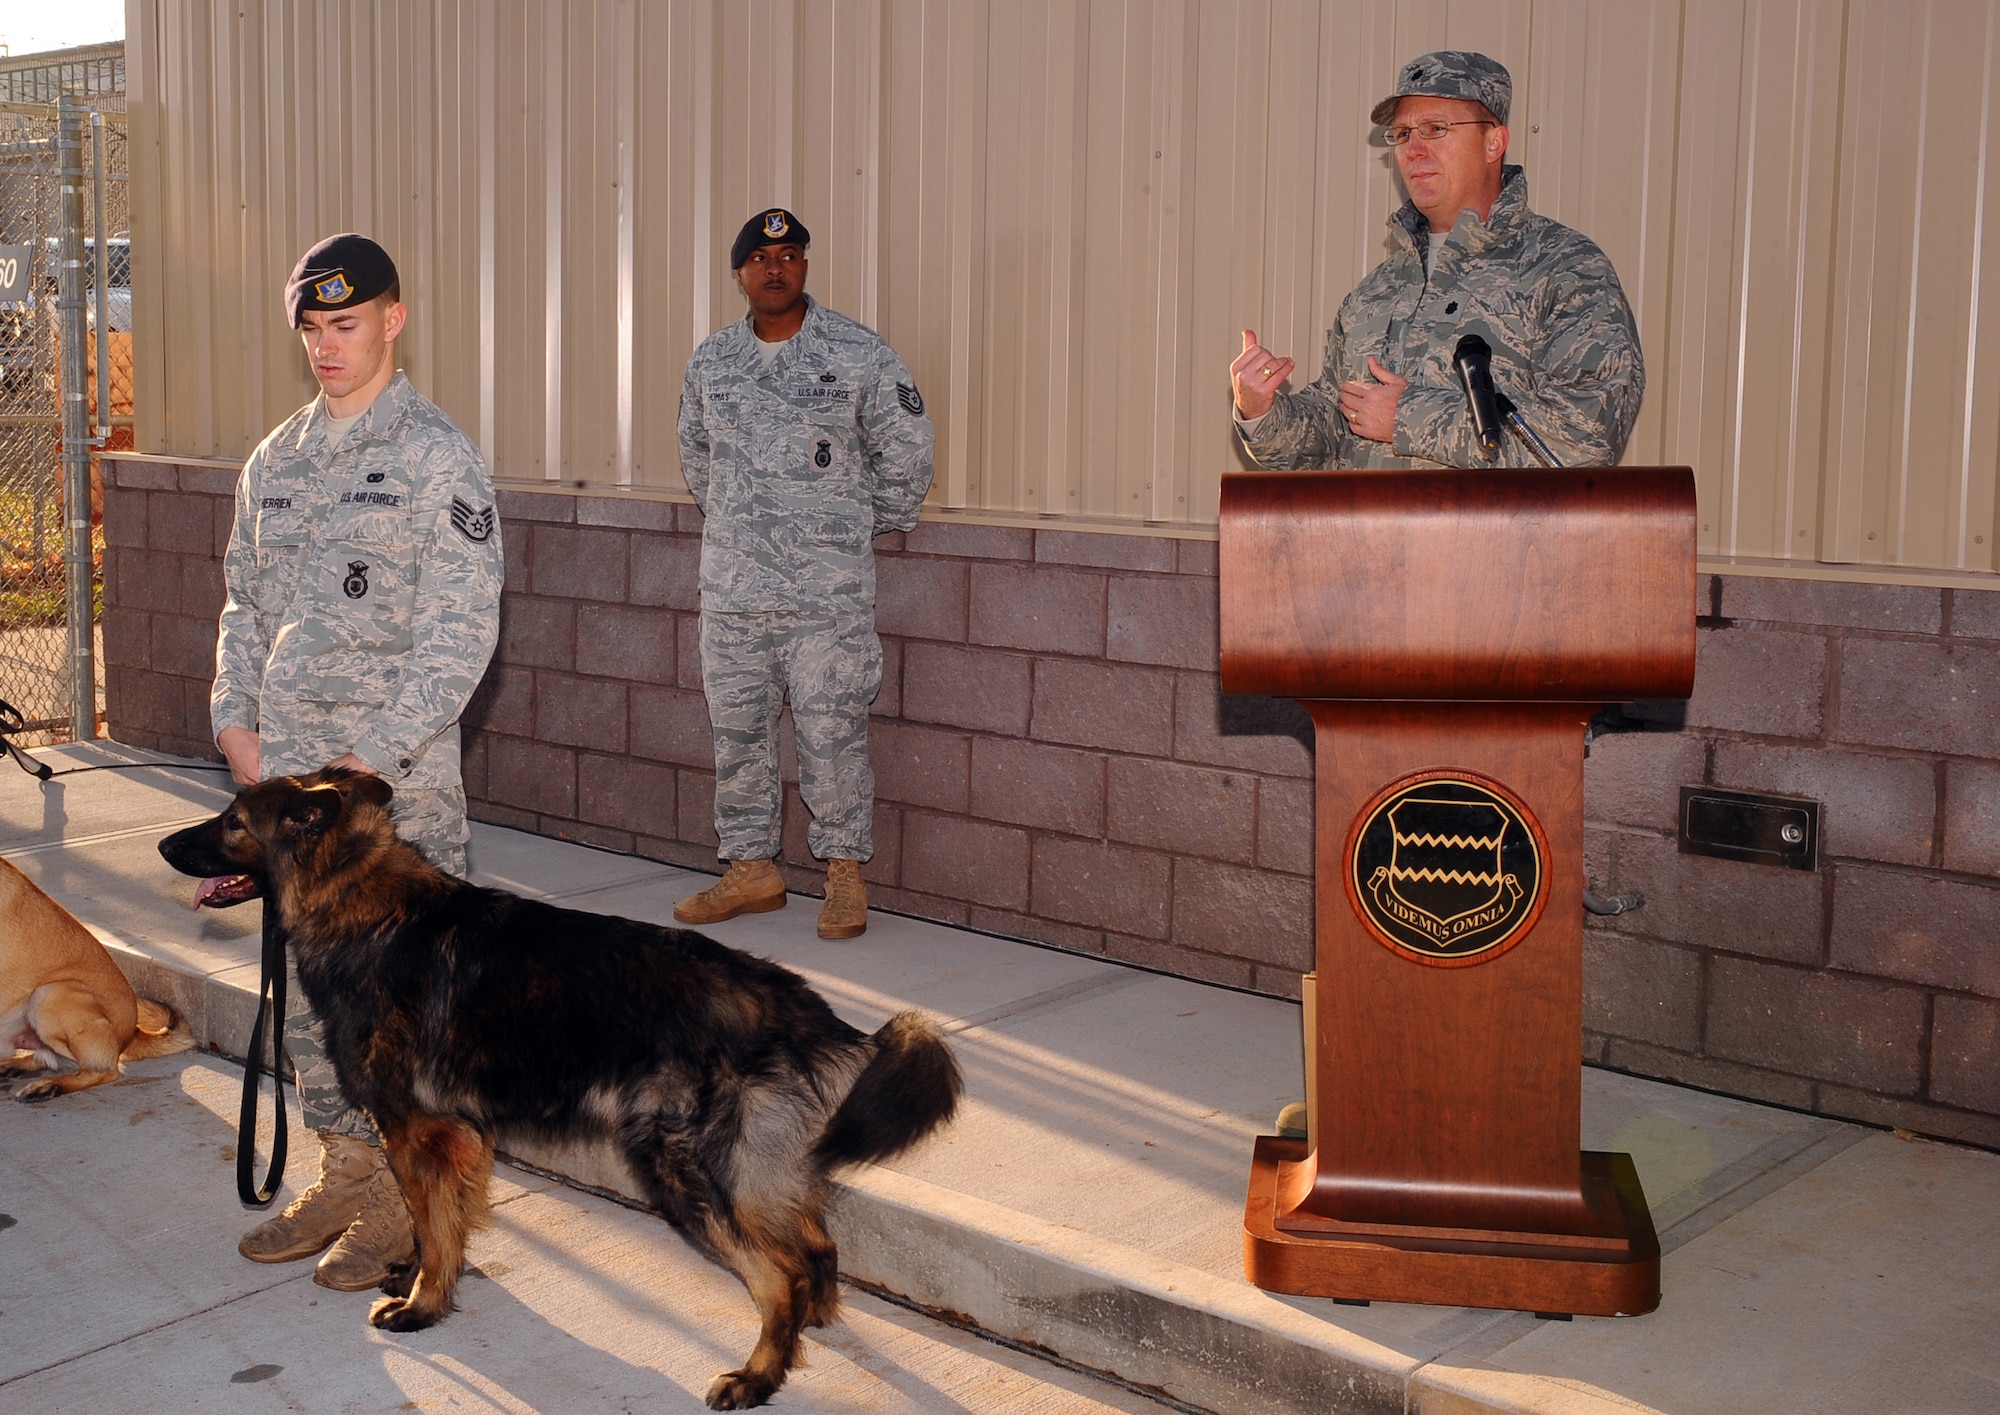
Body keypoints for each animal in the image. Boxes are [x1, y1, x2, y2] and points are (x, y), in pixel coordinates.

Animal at [160, 767, 956, 1407]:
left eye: (233, 821)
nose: (167, 848)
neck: (364, 903)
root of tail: (794, 1003)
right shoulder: (457, 1136)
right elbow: (440, 1219)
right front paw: (419, 1274)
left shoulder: (416, 1130)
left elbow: (431, 1219)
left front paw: (423, 1304)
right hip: (752, 1170)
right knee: (815, 1247)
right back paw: (805, 1326)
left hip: (685, 1170)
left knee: (778, 1273)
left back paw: (759, 1374)